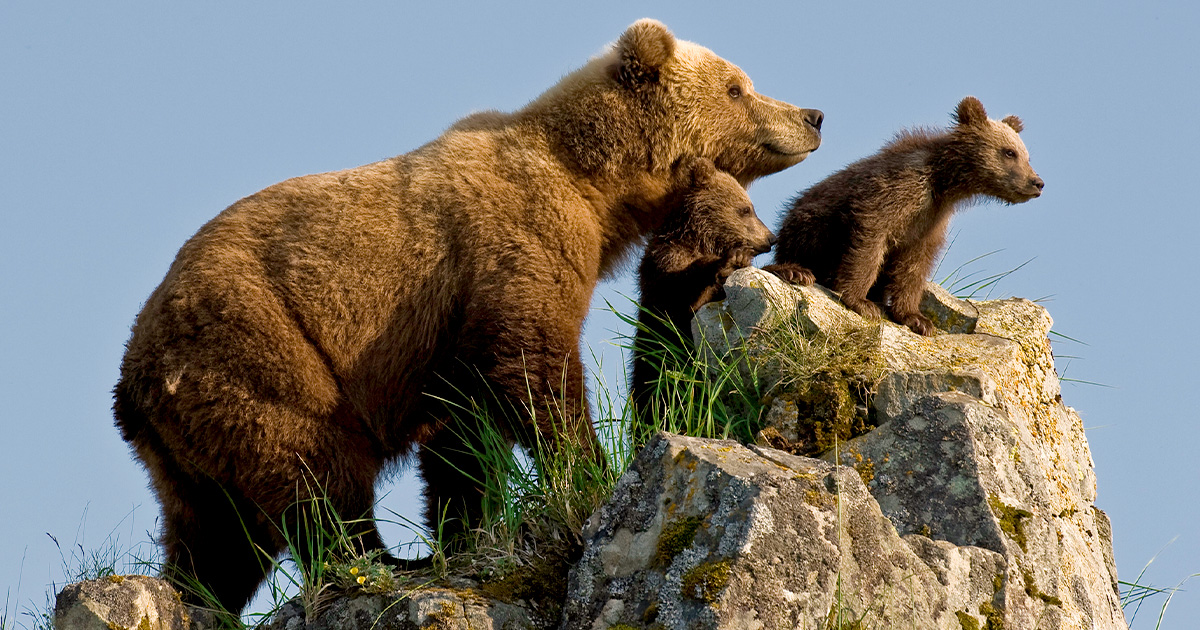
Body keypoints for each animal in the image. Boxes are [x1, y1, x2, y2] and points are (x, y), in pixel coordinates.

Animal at [112, 18, 820, 609]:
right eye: (737, 86)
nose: (812, 113)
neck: (596, 188)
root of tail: (133, 380)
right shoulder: (512, 244)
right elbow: (530, 364)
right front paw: (586, 464)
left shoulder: (447, 336)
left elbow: (462, 437)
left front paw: (465, 525)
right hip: (260, 351)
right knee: (313, 468)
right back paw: (378, 561)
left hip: (186, 445)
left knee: (217, 537)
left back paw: (195, 597)